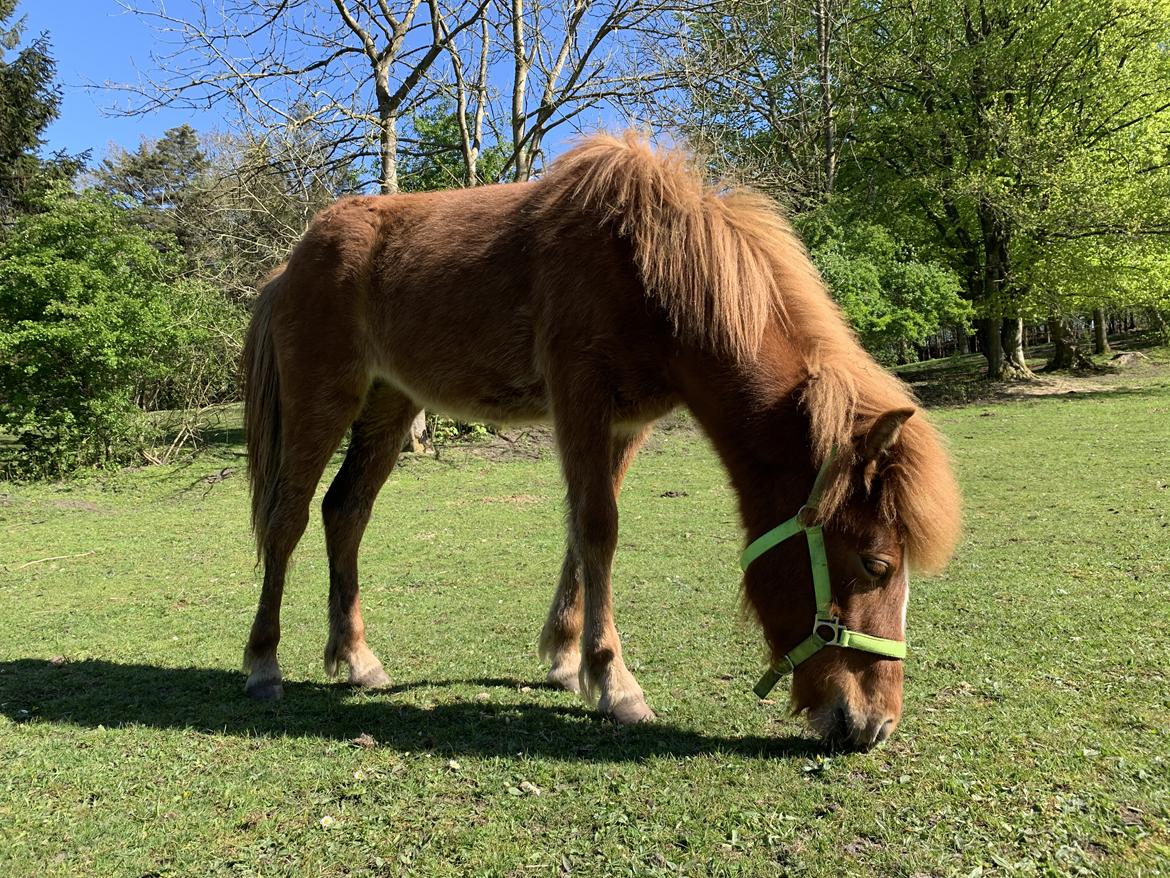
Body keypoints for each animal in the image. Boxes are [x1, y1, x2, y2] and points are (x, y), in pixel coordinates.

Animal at [239, 130, 959, 749]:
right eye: (876, 565)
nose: (875, 725)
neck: (649, 267)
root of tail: (291, 264)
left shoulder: (625, 425)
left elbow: (581, 532)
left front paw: (564, 659)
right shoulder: (579, 400)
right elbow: (597, 528)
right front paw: (614, 683)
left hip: (389, 407)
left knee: (346, 513)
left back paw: (357, 658)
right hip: (322, 401)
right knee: (287, 520)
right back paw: (263, 664)